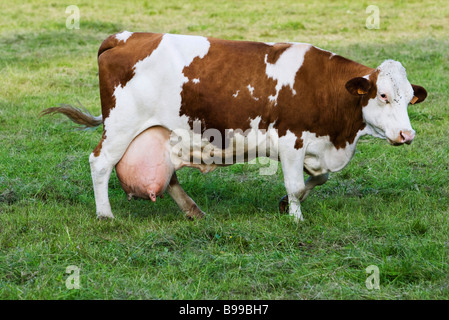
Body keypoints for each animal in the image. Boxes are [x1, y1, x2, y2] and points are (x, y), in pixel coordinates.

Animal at [42, 31, 428, 222]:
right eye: (382, 95)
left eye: (410, 98)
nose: (407, 135)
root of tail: (125, 36)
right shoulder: (290, 140)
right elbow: (295, 185)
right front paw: (295, 218)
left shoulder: (316, 148)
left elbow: (317, 180)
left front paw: (285, 205)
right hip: (121, 125)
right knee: (100, 163)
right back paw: (105, 215)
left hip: (161, 132)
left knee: (168, 175)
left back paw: (193, 210)